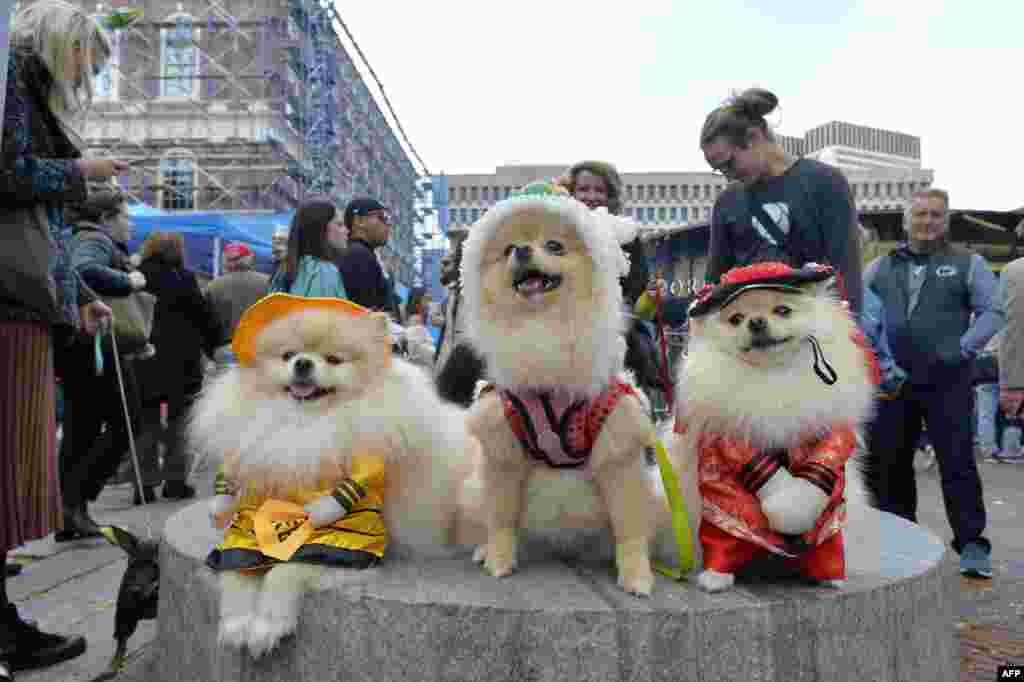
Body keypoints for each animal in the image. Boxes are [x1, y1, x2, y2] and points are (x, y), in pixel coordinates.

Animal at [188, 294, 471, 655]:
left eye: (334, 359)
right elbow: (236, 575)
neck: (304, 427)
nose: (303, 364)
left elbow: (285, 571)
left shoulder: (344, 540)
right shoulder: (245, 531)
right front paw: (237, 623)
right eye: (288, 355)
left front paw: (266, 626)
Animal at [460, 180, 692, 593]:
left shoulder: (618, 451)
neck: (545, 327)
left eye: (554, 246)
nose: (522, 250)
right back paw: (484, 550)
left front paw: (636, 576)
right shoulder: (503, 449)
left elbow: (630, 530)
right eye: (507, 249)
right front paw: (500, 561)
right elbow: (500, 521)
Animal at [671, 262, 880, 593]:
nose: (756, 322)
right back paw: (716, 575)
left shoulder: (830, 435)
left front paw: (795, 511)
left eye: (783, 310)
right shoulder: (731, 437)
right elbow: (757, 469)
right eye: (736, 319)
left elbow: (821, 466)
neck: (773, 374)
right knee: (724, 538)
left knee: (827, 541)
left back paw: (831, 574)